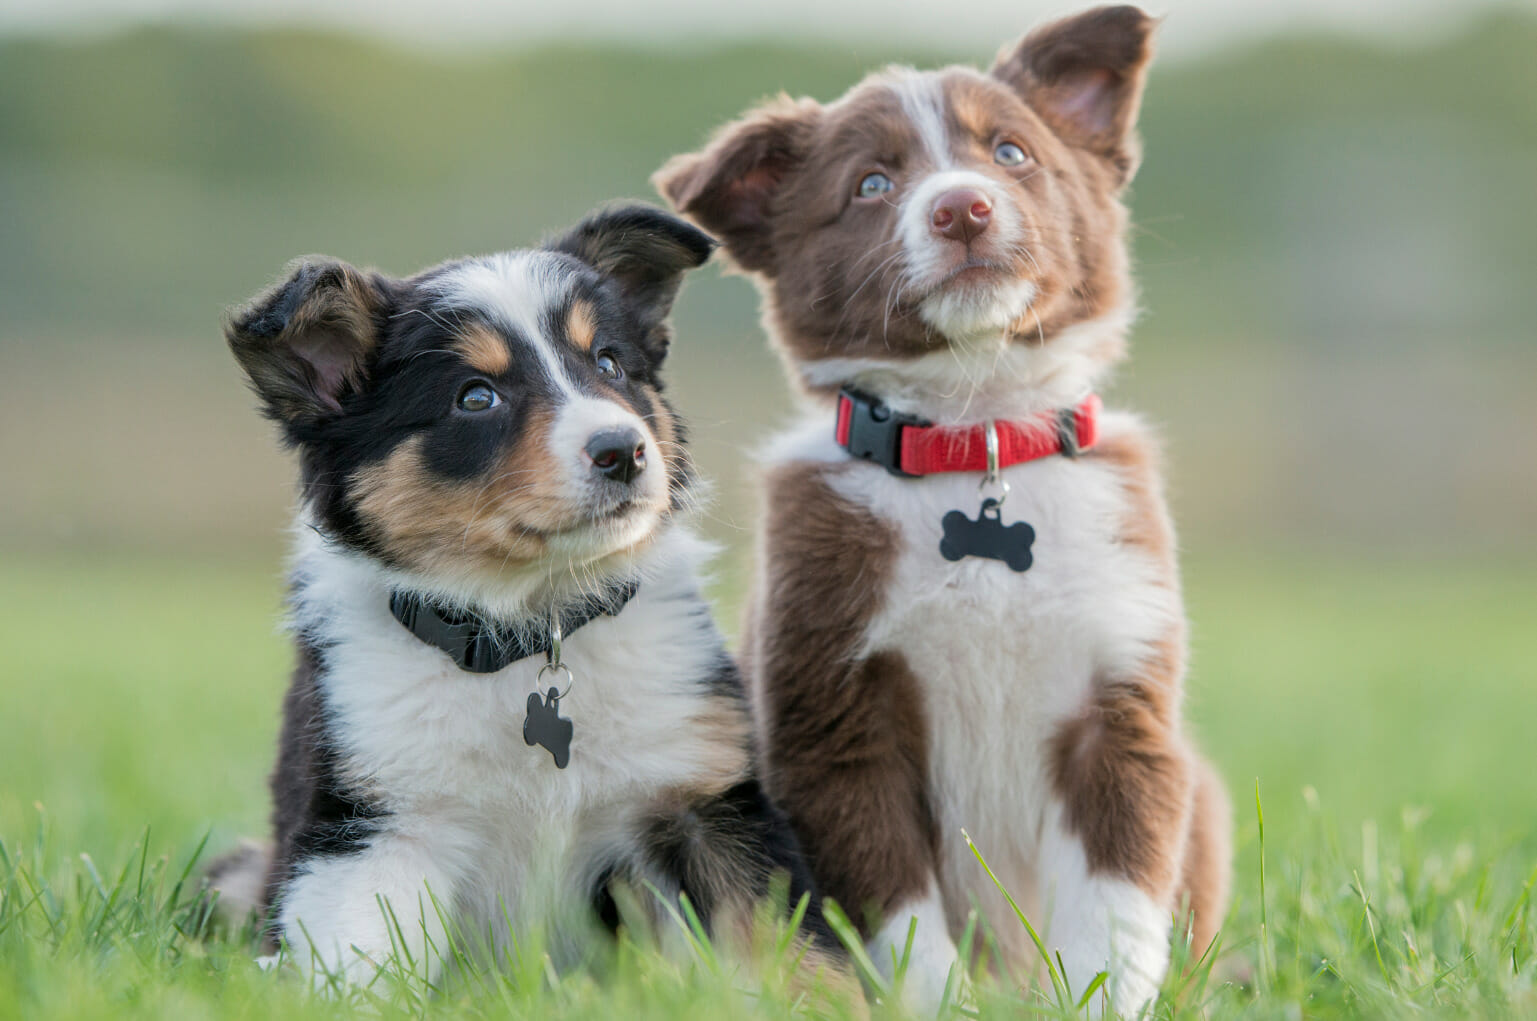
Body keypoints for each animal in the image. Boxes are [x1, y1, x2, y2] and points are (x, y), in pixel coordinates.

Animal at [205, 206, 848, 990]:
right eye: (476, 396)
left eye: (608, 364)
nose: (623, 450)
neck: (530, 628)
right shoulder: (370, 826)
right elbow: (360, 962)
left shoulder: (707, 800)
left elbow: (801, 953)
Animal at [654, 7, 1229, 1014]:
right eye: (871, 184)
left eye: (1010, 153)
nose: (962, 207)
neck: (975, 437)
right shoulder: (834, 719)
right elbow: (900, 916)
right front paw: (942, 998)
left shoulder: (1120, 701)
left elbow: (1116, 904)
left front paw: (1101, 996)